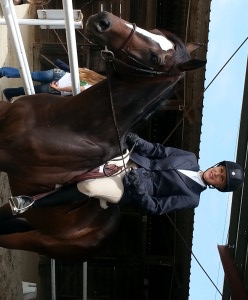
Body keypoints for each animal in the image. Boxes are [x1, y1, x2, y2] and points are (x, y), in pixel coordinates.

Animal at [0, 11, 206, 260]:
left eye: (155, 59)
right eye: (155, 31)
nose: (103, 19)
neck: (69, 124)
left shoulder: (7, 157)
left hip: (39, 240)